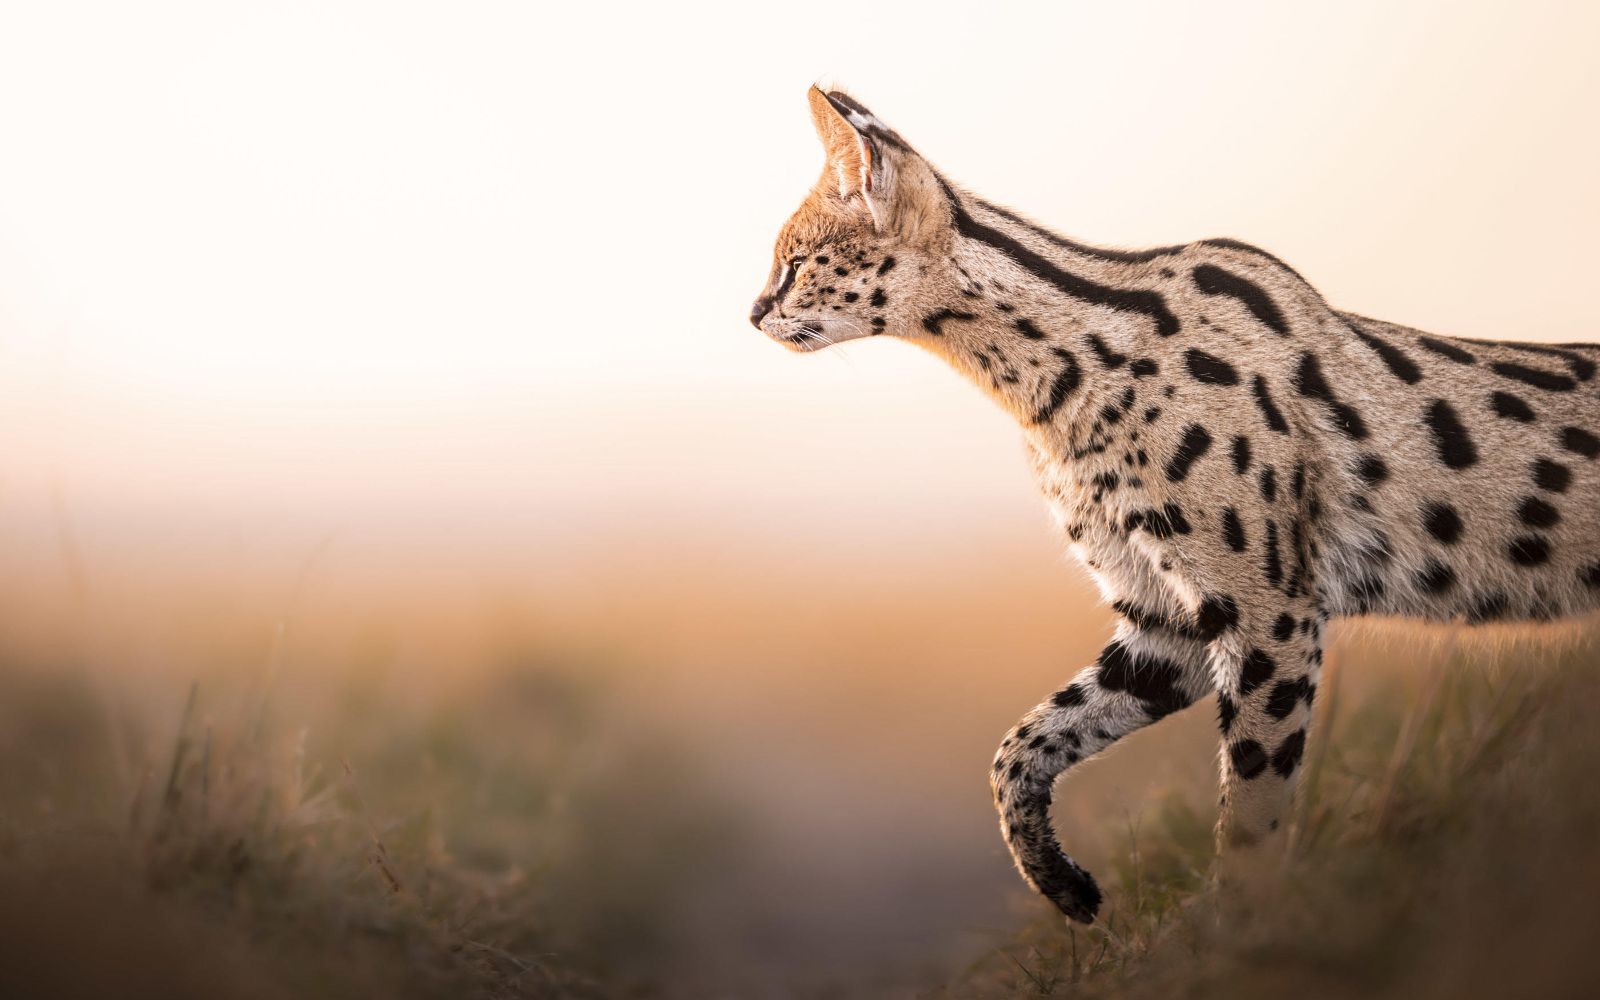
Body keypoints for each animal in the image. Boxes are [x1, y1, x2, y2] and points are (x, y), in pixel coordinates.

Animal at [749, 86, 1600, 922]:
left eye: (792, 264)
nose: (752, 314)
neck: (1045, 396)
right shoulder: (1167, 621)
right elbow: (1019, 747)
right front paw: (1062, 882)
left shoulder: (1271, 612)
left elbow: (1251, 807)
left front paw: (1238, 931)